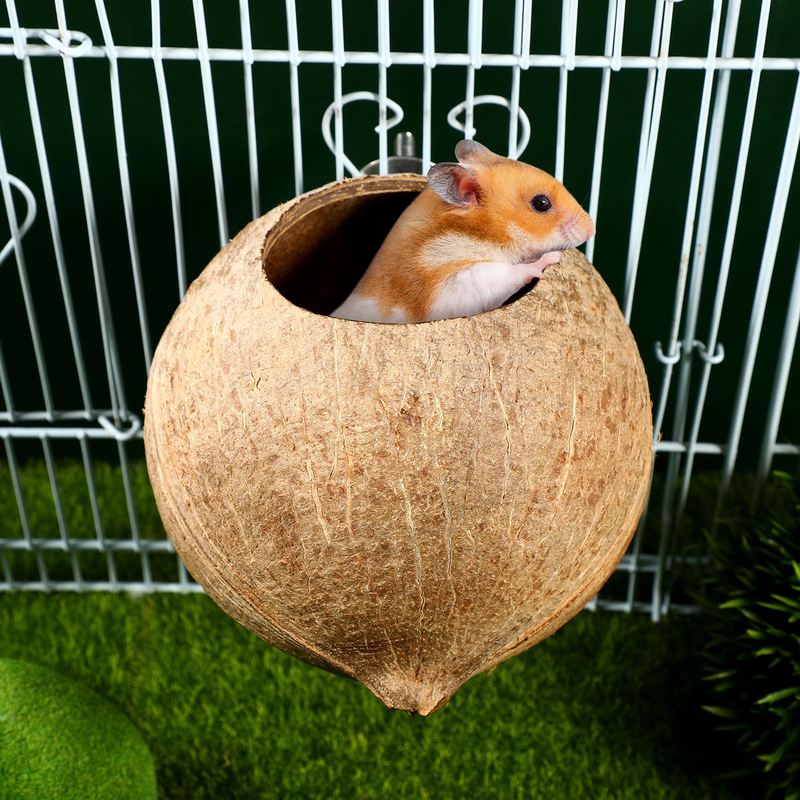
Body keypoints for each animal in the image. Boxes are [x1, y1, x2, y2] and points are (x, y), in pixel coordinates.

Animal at [330, 140, 595, 324]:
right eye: (541, 203)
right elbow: (505, 274)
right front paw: (550, 258)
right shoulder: (449, 281)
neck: (477, 234)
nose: (591, 231)